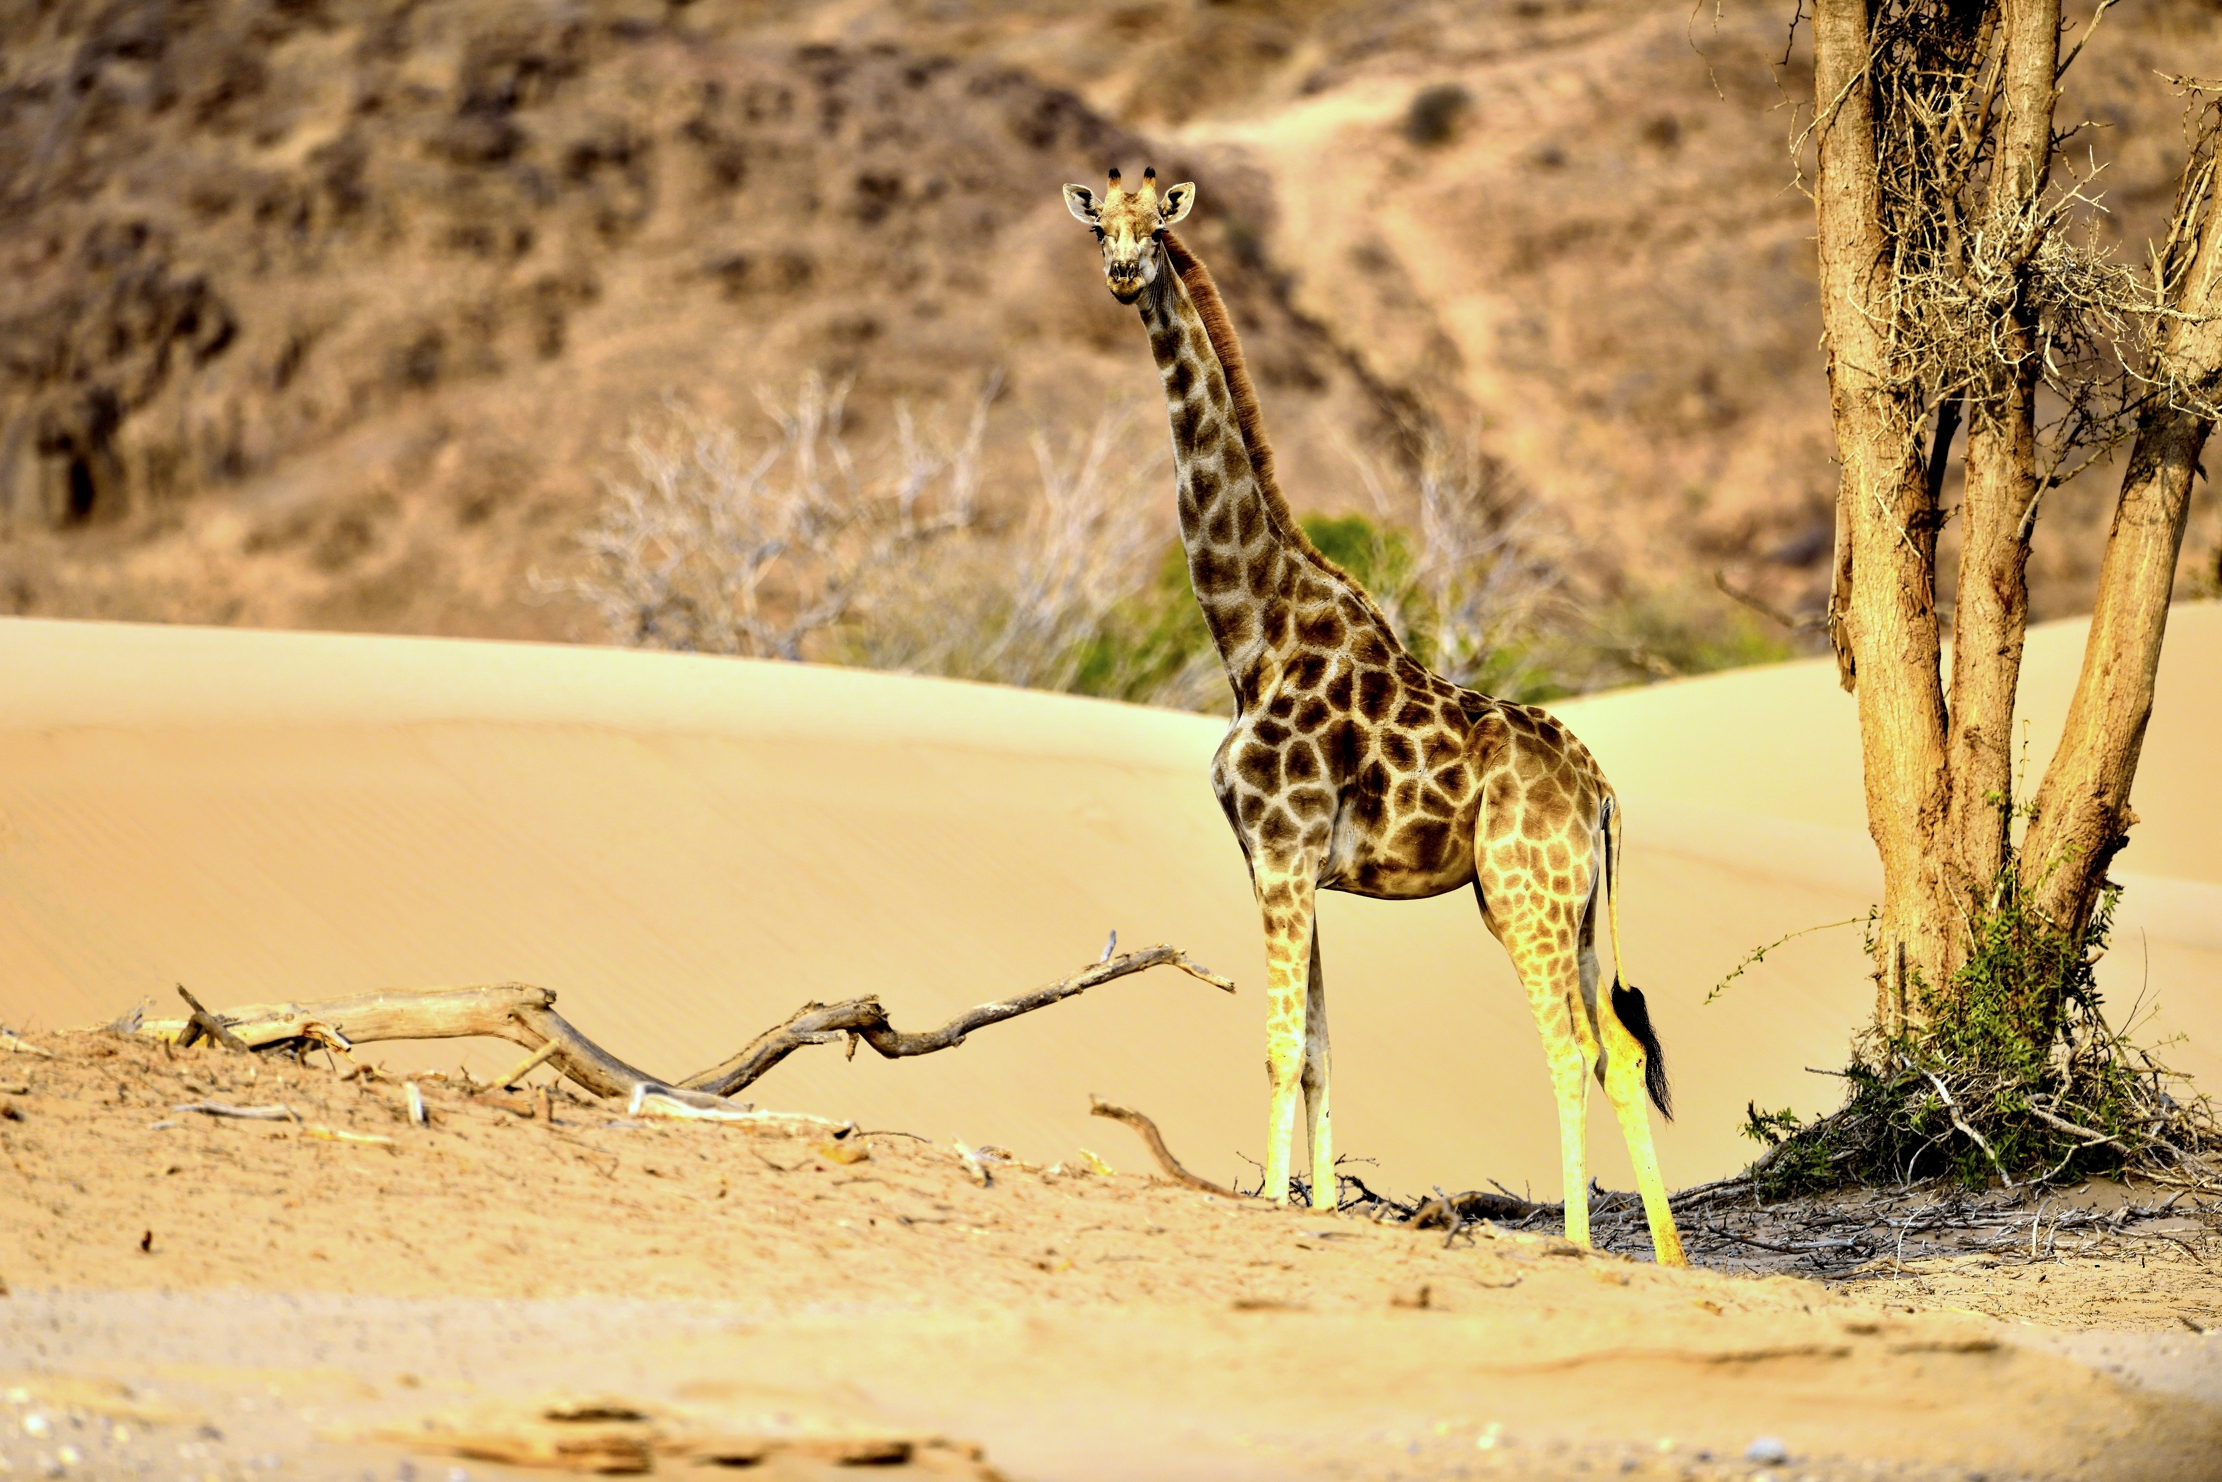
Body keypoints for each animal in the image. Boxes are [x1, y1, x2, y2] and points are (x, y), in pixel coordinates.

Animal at [1062, 168, 1686, 1265]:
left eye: (1157, 228)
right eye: (1102, 226)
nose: (1123, 272)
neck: (1250, 633)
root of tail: (1602, 792)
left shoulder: (1281, 850)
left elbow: (1277, 1046)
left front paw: (1276, 1207)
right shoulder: (1286, 862)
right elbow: (1316, 1046)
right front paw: (1311, 1205)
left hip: (1519, 894)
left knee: (1568, 1047)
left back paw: (1575, 1243)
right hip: (1571, 906)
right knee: (1615, 1047)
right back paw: (1665, 1255)